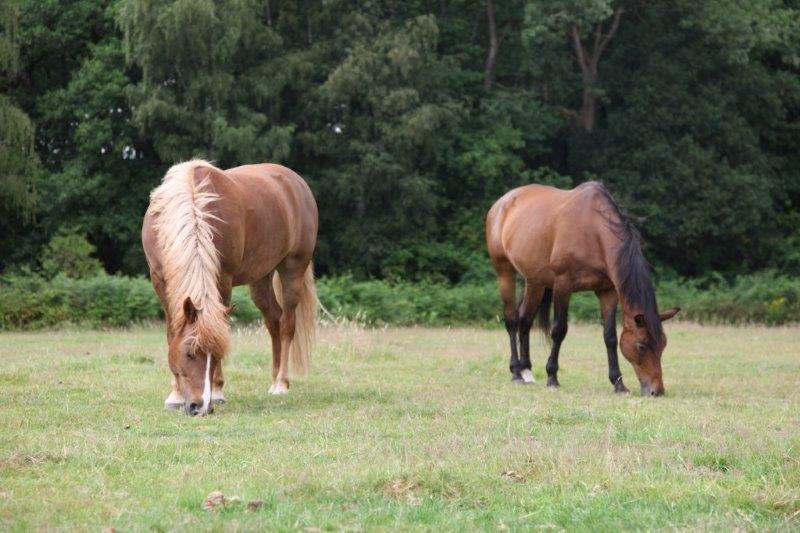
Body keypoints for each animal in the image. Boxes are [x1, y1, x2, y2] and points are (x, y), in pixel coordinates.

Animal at [142, 159, 318, 416]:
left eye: (216, 354)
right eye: (189, 353)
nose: (200, 406)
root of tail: (297, 183)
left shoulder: (223, 279)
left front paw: (217, 391)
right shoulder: (159, 280)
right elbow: (171, 334)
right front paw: (174, 395)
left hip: (292, 268)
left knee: (287, 324)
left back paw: (281, 384)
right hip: (261, 278)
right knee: (273, 321)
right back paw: (273, 378)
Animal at [484, 183, 680, 394]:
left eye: (663, 345)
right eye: (641, 345)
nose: (656, 391)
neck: (593, 232)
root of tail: (501, 203)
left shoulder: (607, 292)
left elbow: (610, 336)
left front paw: (618, 383)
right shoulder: (563, 285)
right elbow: (559, 330)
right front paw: (552, 377)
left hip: (535, 281)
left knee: (525, 320)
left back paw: (526, 371)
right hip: (505, 271)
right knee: (512, 320)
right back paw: (516, 373)